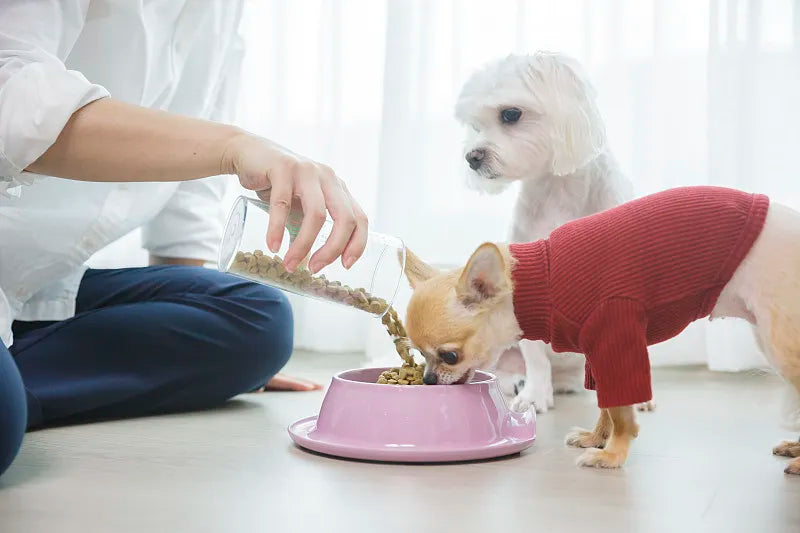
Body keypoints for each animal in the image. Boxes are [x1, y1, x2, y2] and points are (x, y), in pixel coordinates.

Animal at [456, 52, 656, 414]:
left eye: (510, 114)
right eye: (475, 126)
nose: (471, 157)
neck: (559, 193)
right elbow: (535, 355)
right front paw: (534, 395)